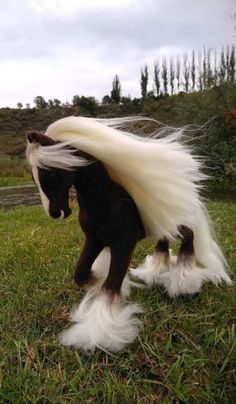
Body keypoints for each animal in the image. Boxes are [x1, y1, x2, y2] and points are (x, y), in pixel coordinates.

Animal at [25, 115, 230, 352]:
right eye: (34, 178)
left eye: (50, 177)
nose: (56, 213)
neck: (106, 201)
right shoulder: (94, 240)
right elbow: (82, 274)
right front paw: (103, 283)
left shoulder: (124, 243)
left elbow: (110, 285)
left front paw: (99, 332)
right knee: (164, 242)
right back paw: (156, 272)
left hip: (176, 224)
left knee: (189, 239)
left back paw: (183, 282)